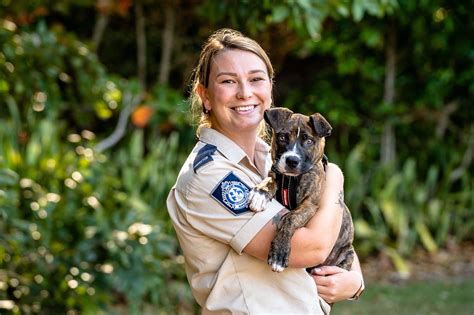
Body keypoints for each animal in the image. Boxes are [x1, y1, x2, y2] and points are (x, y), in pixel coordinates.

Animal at [250, 107, 354, 272]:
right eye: (282, 138)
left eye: (309, 141)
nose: (292, 160)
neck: (290, 179)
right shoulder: (276, 173)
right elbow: (270, 180)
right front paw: (260, 192)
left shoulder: (309, 205)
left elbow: (290, 219)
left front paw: (279, 254)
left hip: (347, 255)